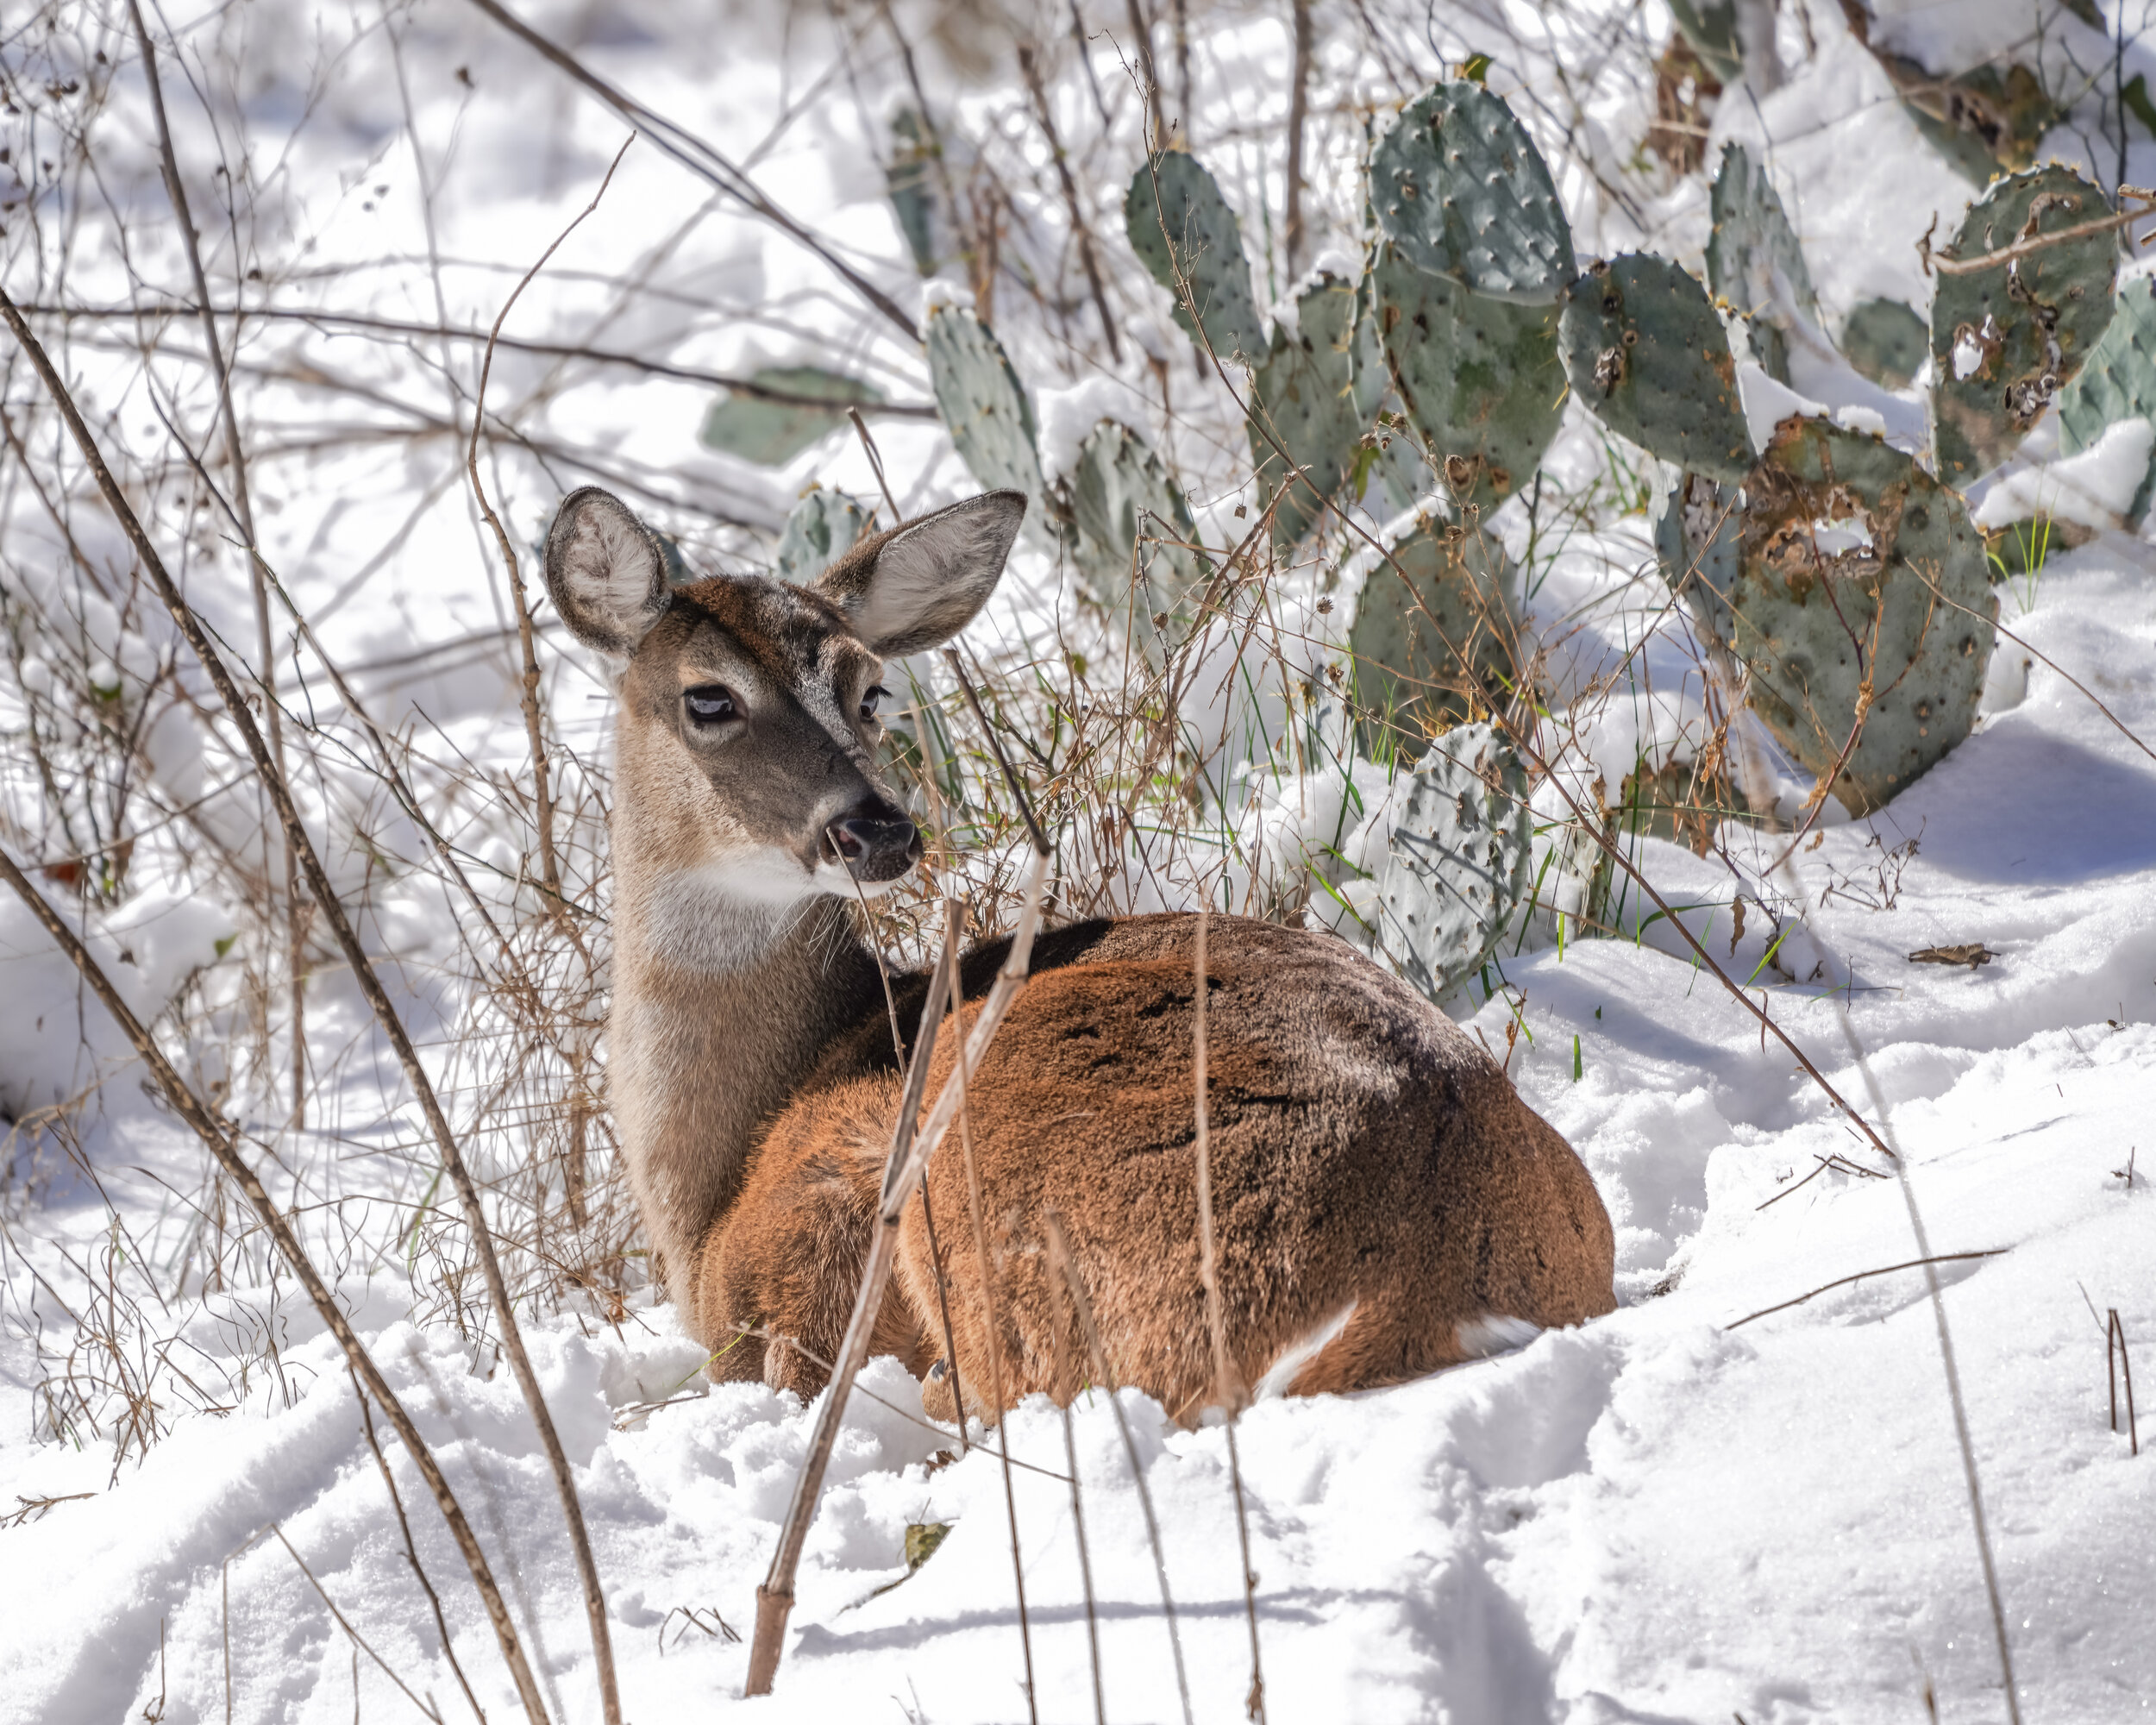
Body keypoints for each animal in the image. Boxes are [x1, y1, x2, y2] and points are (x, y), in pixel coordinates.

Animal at [543, 479, 1621, 1423]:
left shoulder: (791, 1256)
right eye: (709, 698)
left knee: (1001, 1385)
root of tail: (1421, 1276)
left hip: (985, 1160)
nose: (878, 829)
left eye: (869, 688)